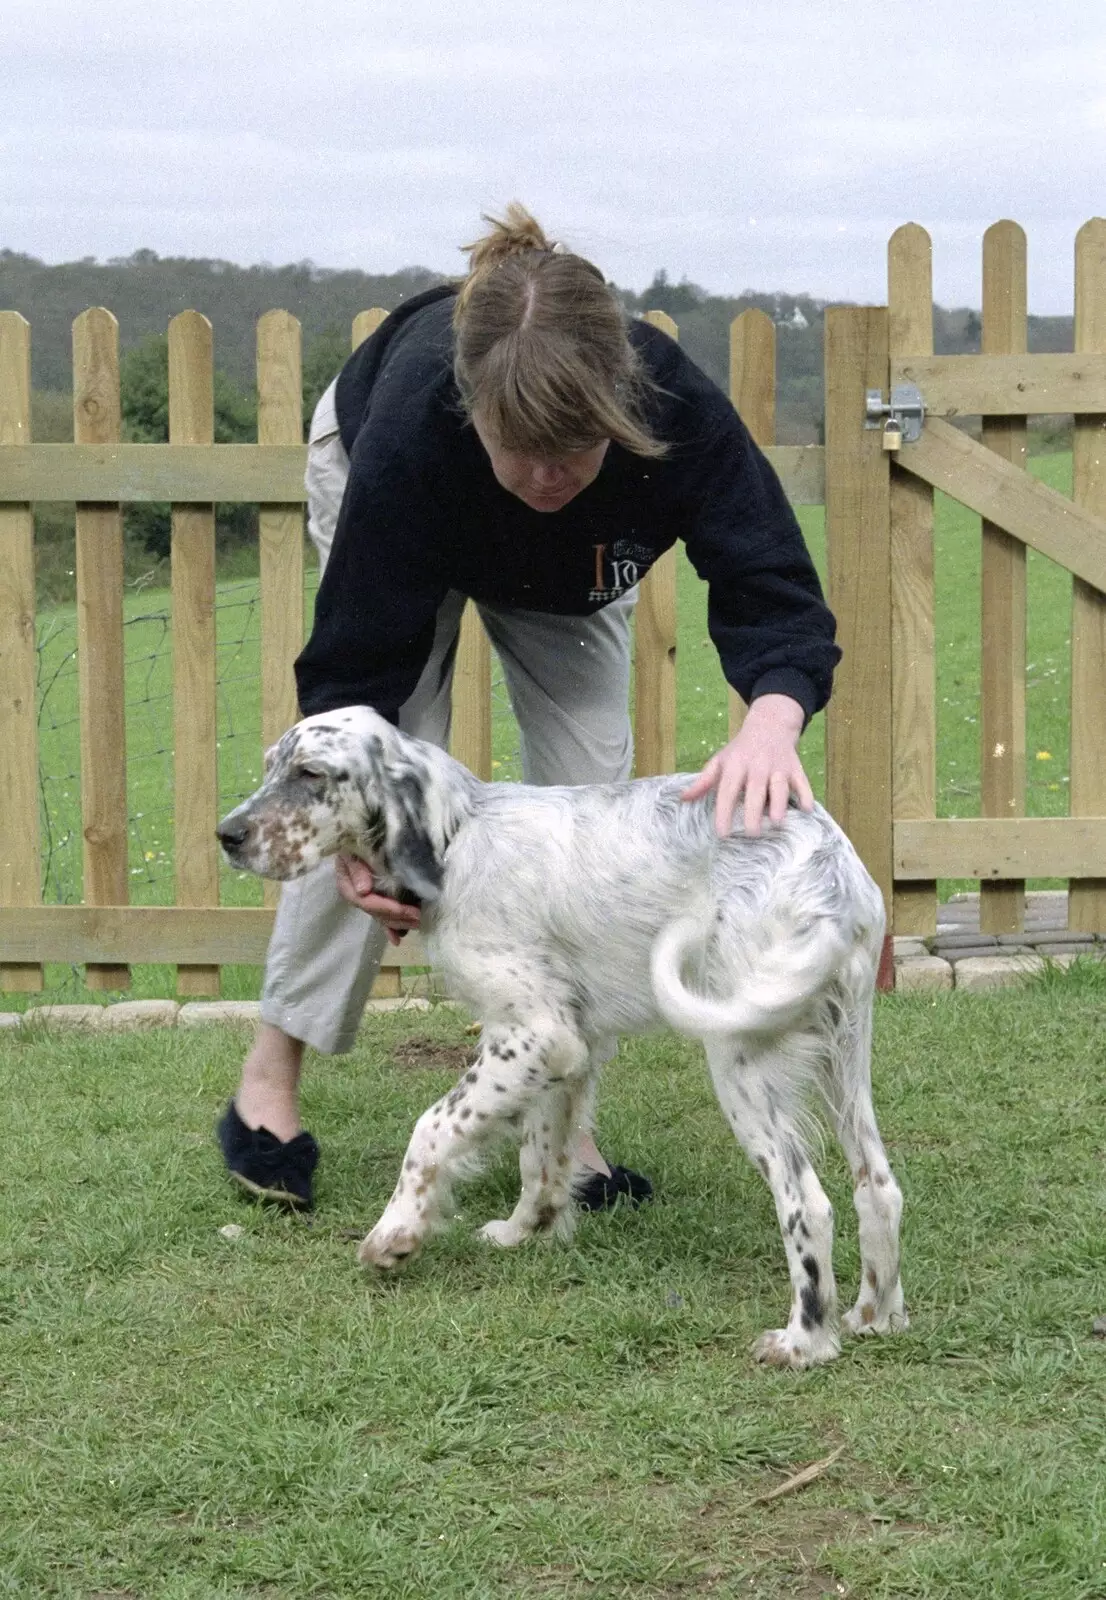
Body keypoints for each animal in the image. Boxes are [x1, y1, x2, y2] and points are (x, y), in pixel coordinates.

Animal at [219, 707, 909, 1369]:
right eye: (270, 765)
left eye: (310, 773)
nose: (227, 835)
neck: (457, 837)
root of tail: (831, 869)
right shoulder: (564, 1051)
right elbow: (541, 1156)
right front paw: (524, 1231)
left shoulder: (533, 1035)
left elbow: (432, 1128)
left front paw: (396, 1234)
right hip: (846, 1055)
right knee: (877, 1186)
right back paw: (875, 1317)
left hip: (739, 1056)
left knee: (807, 1203)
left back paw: (805, 1341)